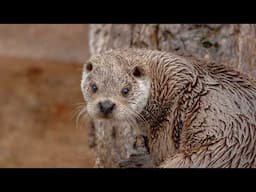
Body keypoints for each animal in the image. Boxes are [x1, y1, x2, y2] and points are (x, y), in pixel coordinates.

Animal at [80, 48, 256, 168]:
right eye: (94, 87)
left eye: (125, 90)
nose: (106, 105)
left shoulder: (166, 123)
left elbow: (160, 155)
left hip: (209, 156)